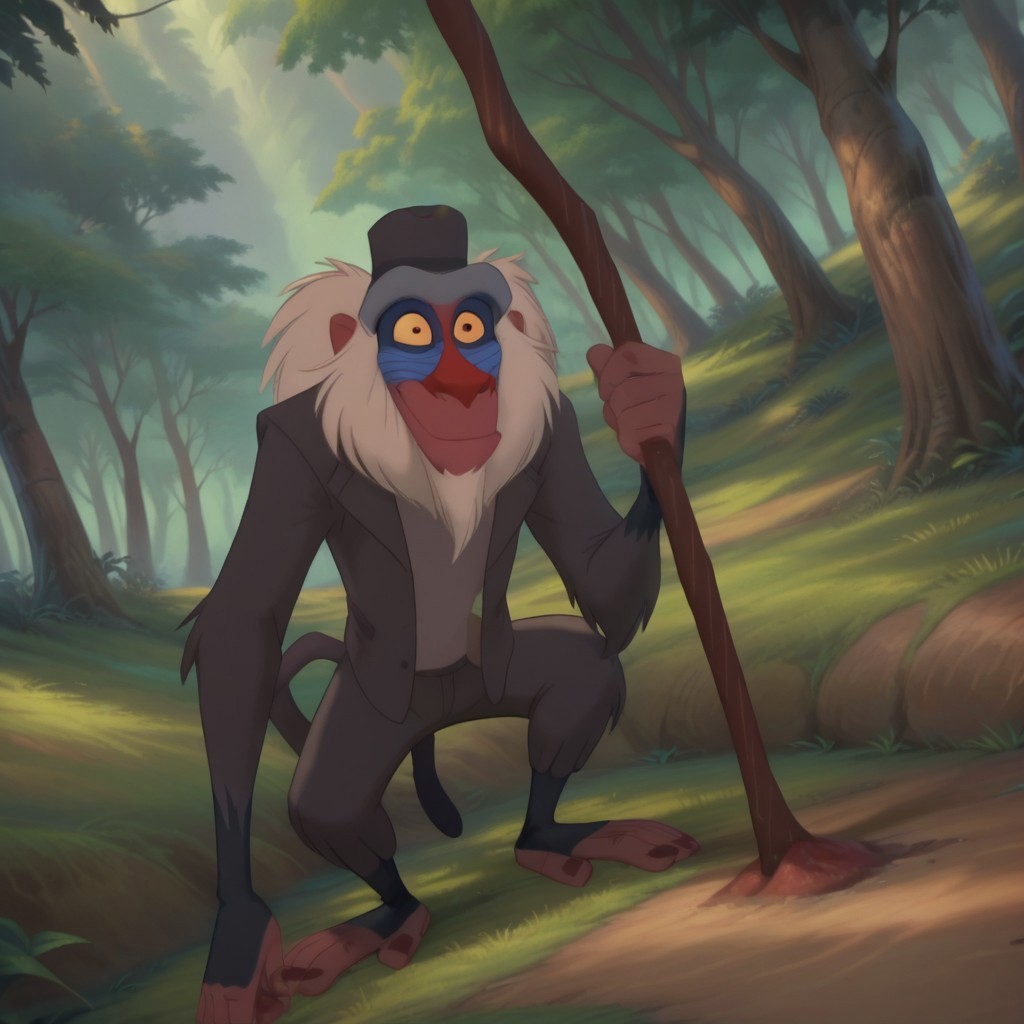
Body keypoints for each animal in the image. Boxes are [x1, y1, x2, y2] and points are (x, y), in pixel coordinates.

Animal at [181, 205, 696, 1024]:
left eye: (471, 328)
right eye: (416, 332)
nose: (463, 386)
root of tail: (442, 706)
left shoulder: (553, 433)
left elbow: (591, 571)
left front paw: (650, 405)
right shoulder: (288, 451)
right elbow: (245, 618)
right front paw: (240, 929)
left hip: (494, 670)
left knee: (583, 681)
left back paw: (550, 839)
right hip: (376, 708)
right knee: (331, 807)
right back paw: (390, 918)